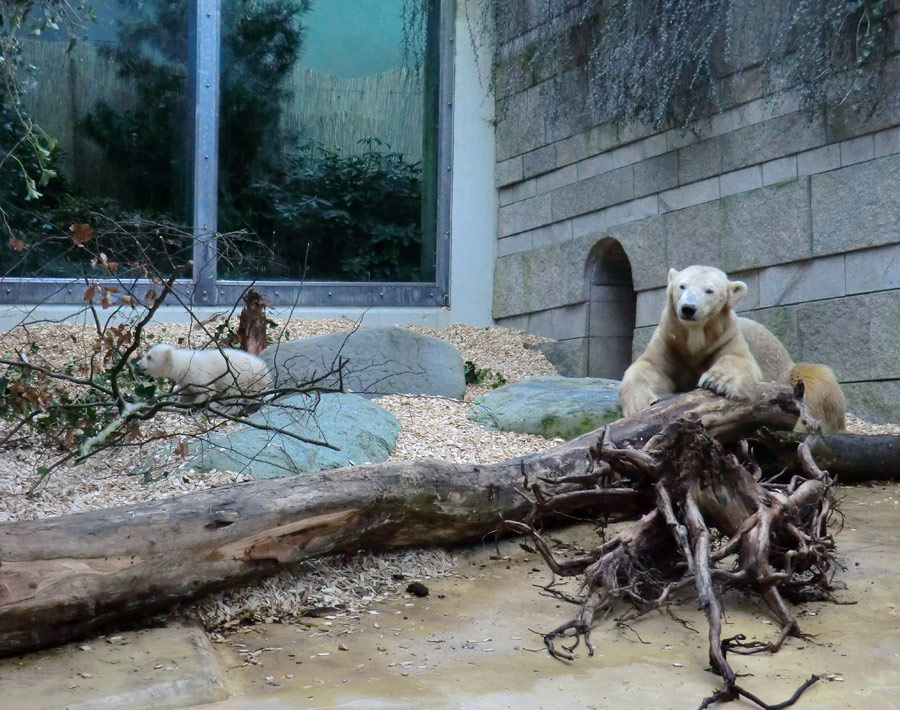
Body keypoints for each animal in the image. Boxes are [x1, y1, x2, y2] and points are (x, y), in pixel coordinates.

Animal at [135, 344, 272, 414]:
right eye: (147, 354)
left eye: (149, 357)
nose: (137, 364)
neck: (183, 364)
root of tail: (264, 371)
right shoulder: (186, 380)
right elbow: (188, 393)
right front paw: (180, 404)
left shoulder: (198, 374)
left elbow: (207, 392)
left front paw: (198, 406)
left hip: (239, 377)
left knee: (234, 394)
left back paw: (228, 409)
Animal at [620, 268, 844, 434]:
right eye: (681, 286)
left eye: (709, 290)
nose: (688, 308)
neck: (693, 339)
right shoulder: (669, 341)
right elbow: (649, 366)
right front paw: (640, 404)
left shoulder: (726, 337)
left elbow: (739, 360)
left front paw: (716, 380)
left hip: (791, 374)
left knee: (817, 381)